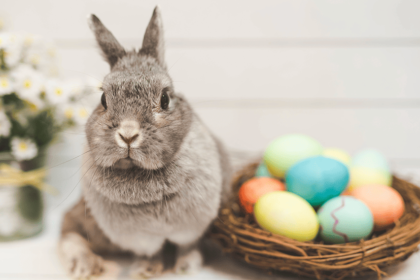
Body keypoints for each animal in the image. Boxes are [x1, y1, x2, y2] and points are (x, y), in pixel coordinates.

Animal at [57, 6, 231, 280]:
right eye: (103, 99)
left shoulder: (192, 228)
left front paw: (185, 267)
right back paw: (86, 266)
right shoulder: (140, 239)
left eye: (165, 98)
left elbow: (187, 246)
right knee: (68, 230)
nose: (128, 135)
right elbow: (150, 252)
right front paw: (145, 270)